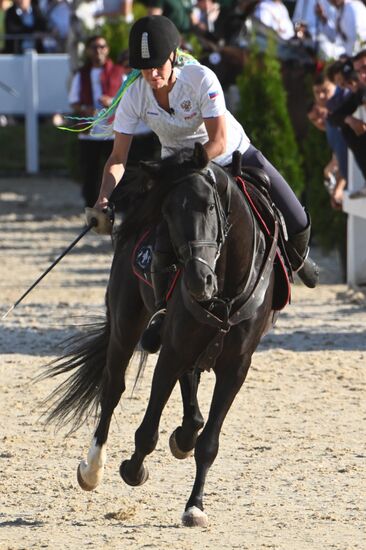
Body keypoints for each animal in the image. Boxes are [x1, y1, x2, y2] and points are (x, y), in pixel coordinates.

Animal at [43, 142, 284, 532]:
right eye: (168, 212)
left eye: (209, 206)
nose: (198, 280)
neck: (225, 288)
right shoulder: (173, 349)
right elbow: (146, 429)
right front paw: (132, 468)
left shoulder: (236, 366)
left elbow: (209, 443)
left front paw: (195, 506)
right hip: (126, 325)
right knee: (113, 388)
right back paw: (93, 469)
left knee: (191, 392)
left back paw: (185, 435)